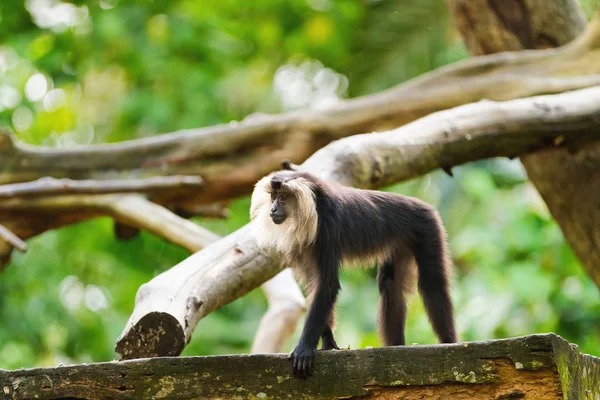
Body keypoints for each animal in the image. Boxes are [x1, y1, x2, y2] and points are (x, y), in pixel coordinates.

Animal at [248, 170, 454, 380]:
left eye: (283, 197)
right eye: (273, 197)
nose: (273, 209)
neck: (315, 206)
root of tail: (422, 205)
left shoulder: (327, 227)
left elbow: (327, 285)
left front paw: (304, 348)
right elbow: (317, 288)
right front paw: (328, 344)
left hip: (427, 226)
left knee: (432, 284)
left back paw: (449, 343)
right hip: (401, 242)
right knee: (391, 286)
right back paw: (397, 347)